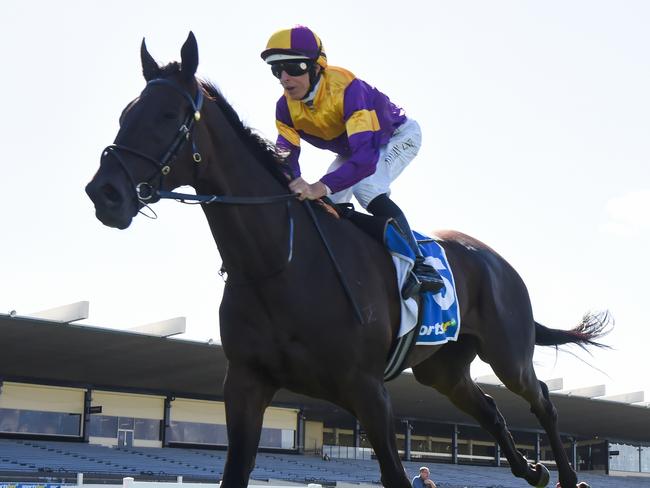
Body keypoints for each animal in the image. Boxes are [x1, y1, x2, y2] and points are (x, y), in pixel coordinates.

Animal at [85, 32, 608, 486]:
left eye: (168, 114)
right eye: (126, 113)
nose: (104, 192)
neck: (280, 265)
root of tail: (497, 261)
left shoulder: (368, 390)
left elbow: (396, 475)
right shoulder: (246, 383)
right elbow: (234, 472)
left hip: (508, 353)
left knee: (543, 400)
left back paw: (567, 476)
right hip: (443, 369)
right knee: (490, 409)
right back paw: (533, 471)